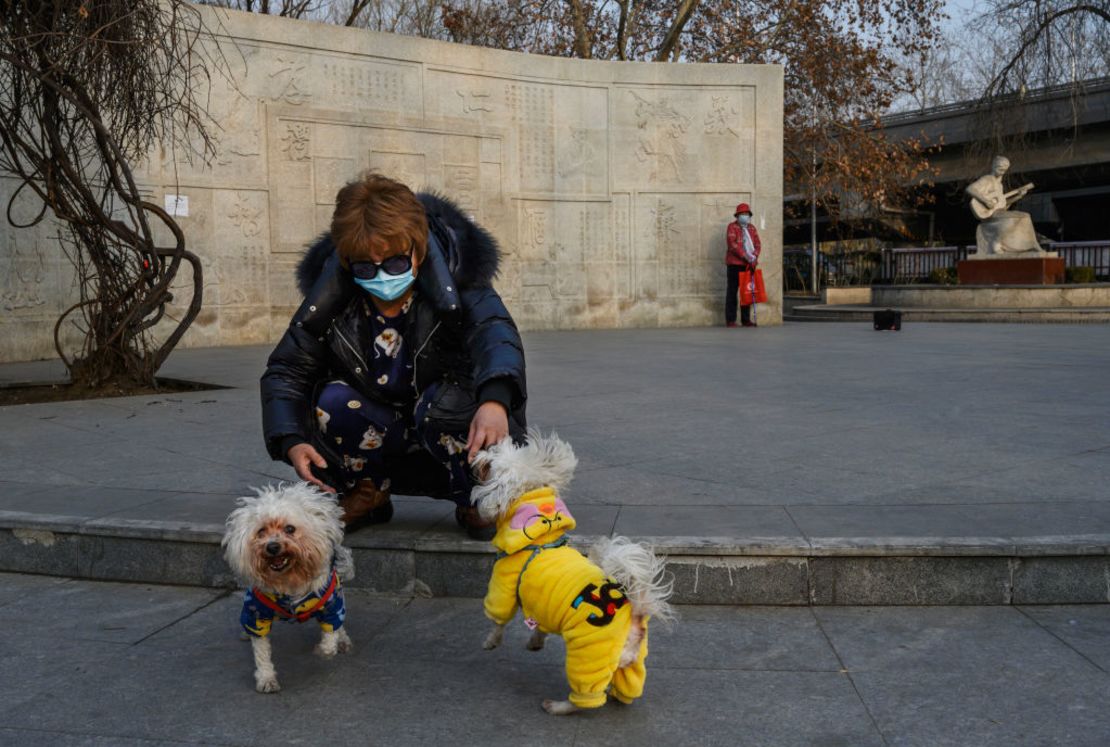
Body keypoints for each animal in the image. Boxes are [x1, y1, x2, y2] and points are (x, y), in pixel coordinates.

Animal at [226, 483, 359, 692]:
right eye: (261, 531)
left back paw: (343, 641)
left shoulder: (332, 605)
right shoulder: (257, 613)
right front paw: (266, 678)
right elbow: (261, 649)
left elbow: (330, 636)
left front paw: (324, 649)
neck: (289, 579)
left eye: (290, 529)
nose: (272, 547)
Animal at [470, 430, 674, 714]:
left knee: (586, 699)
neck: (541, 538)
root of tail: (636, 615)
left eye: (491, 461)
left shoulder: (503, 587)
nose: (478, 452)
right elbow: (540, 628)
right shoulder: (542, 608)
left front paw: (491, 641)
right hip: (630, 663)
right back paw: (616, 694)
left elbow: (498, 619)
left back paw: (556, 706)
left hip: (589, 654)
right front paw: (535, 642)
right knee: (625, 686)